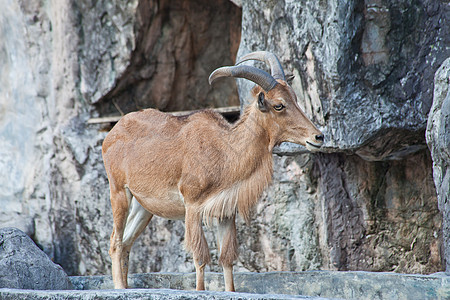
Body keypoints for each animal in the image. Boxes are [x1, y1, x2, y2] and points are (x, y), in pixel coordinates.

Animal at [102, 51, 324, 290]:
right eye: (279, 105)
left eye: (295, 99)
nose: (318, 137)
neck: (226, 150)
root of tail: (112, 133)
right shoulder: (192, 206)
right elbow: (200, 257)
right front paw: (200, 290)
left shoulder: (226, 212)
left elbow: (226, 258)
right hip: (119, 192)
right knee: (115, 241)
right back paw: (119, 287)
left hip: (143, 206)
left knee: (126, 242)